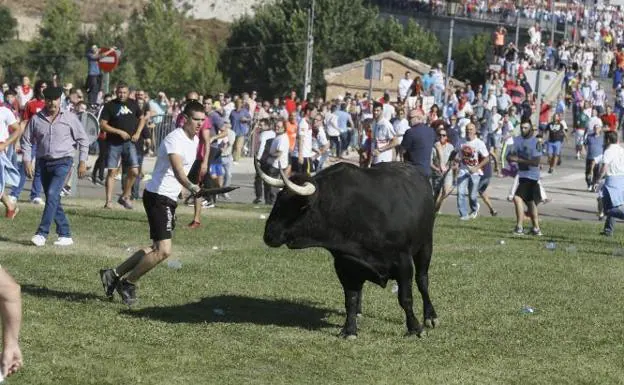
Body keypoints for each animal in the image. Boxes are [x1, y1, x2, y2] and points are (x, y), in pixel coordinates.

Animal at [256, 159, 436, 336]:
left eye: (301, 206)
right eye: (278, 198)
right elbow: (351, 298)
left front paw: (415, 328)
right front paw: (349, 329)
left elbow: (405, 298)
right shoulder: (345, 264)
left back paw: (430, 316)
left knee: (422, 279)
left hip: (426, 244)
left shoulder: (403, 261)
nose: (269, 234)